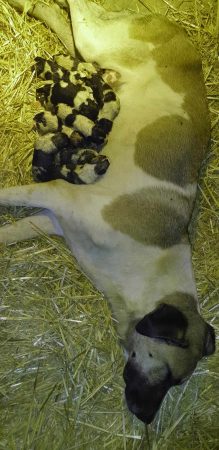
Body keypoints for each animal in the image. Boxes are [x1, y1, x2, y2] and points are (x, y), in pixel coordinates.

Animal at [0, 0, 215, 424]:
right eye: (167, 373)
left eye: (176, 383)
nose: (145, 418)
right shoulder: (61, 197)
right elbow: (9, 195)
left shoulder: (56, 218)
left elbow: (15, 229)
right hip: (98, 38)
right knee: (77, 10)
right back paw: (29, 4)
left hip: (94, 51)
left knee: (64, 22)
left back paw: (33, 8)